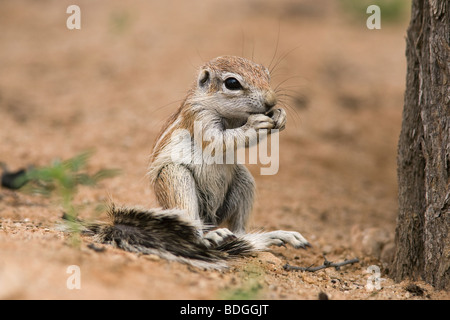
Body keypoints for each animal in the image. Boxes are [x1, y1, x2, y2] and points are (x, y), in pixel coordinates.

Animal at [77, 56, 310, 268]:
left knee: (239, 230)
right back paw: (209, 237)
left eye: (266, 74)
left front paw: (281, 116)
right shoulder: (199, 117)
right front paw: (255, 124)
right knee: (193, 227)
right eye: (232, 83)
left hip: (243, 181)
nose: (271, 101)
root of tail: (210, 220)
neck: (228, 115)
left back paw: (269, 236)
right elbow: (219, 140)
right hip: (175, 179)